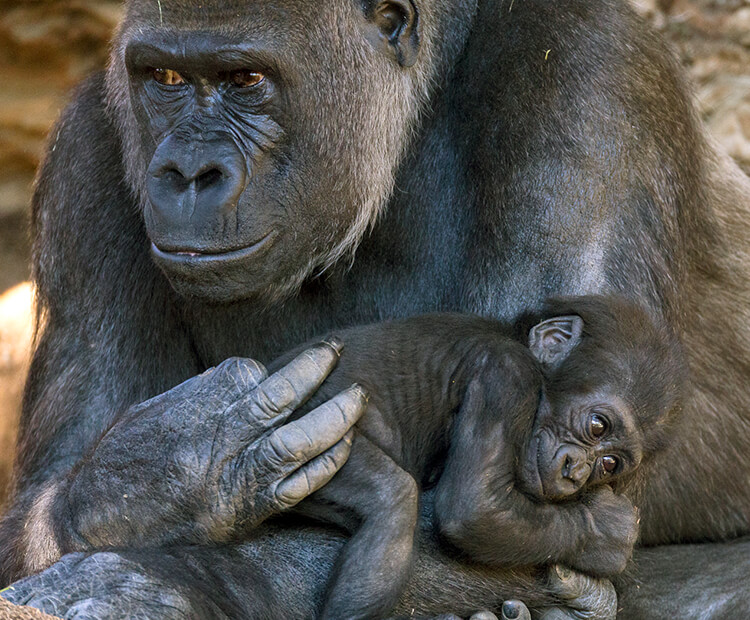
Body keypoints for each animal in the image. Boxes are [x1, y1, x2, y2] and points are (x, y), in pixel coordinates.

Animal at [270, 296, 688, 620]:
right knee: (393, 498)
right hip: (304, 438)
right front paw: (606, 532)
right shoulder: (507, 376)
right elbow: (474, 508)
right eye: (598, 426)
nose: (577, 472)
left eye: (609, 464)